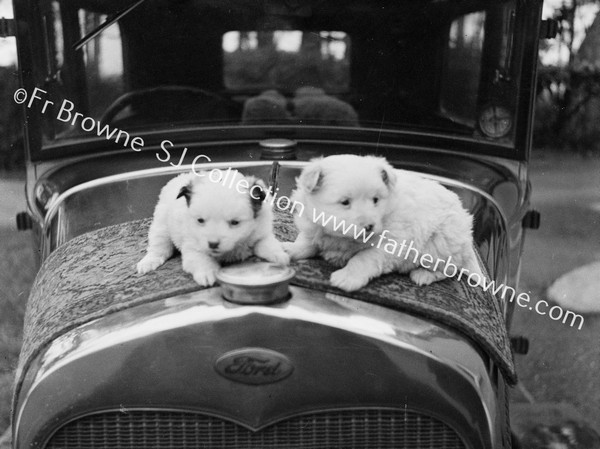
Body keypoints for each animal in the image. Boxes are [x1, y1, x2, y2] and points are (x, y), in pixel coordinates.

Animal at [137, 168, 290, 288]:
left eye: (235, 222)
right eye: (200, 220)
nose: (213, 244)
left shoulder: (261, 232)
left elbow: (267, 244)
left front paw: (280, 256)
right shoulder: (193, 246)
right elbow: (201, 260)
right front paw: (207, 274)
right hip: (161, 225)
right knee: (159, 247)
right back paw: (147, 263)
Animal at [284, 154, 486, 290]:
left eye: (375, 200)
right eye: (345, 202)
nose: (369, 226)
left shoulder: (390, 244)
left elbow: (363, 258)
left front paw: (347, 277)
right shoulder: (314, 227)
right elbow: (306, 242)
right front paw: (288, 249)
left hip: (440, 244)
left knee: (449, 269)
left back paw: (423, 275)